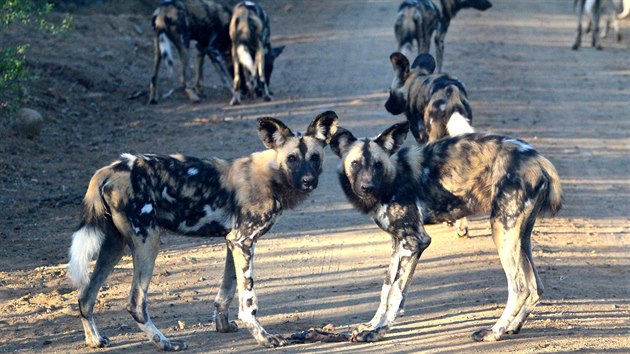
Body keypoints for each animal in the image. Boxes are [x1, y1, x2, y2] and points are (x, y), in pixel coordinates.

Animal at [68, 112, 340, 350]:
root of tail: (111, 168)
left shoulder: (234, 242)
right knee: (136, 303)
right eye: (292, 158)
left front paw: (223, 326)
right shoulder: (244, 242)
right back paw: (166, 343)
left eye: (314, 157)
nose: (308, 181)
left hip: (115, 245)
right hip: (148, 242)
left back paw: (95, 340)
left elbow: (226, 291)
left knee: (85, 296)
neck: (273, 176)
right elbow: (248, 301)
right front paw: (263, 337)